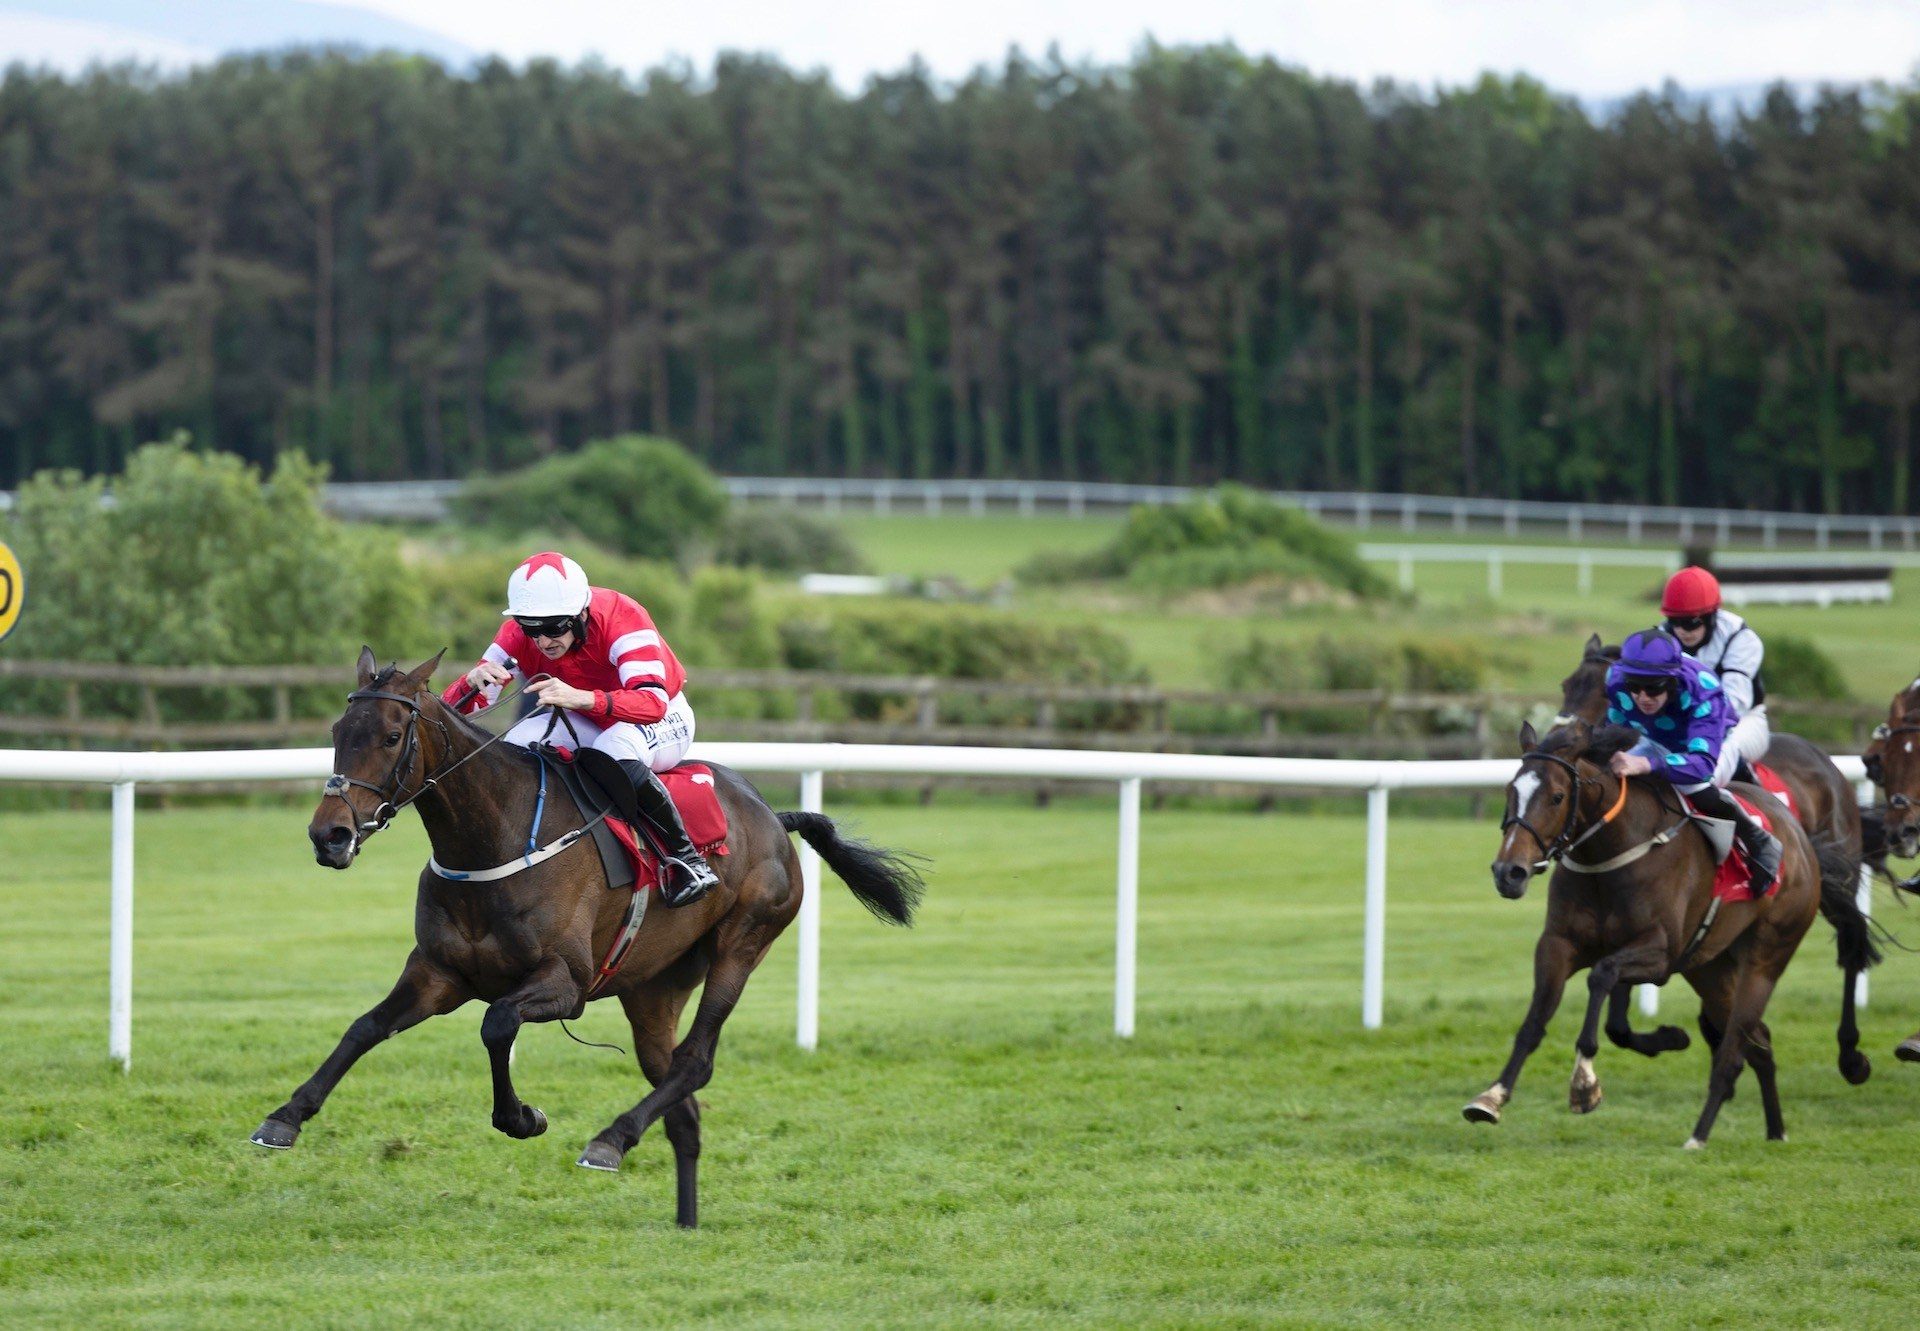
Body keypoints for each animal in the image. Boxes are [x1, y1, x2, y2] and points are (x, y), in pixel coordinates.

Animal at [251, 649, 925, 1229]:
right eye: (339, 730)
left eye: (391, 737)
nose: (329, 836)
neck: (493, 836)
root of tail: (774, 817)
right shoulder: (437, 973)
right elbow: (364, 1027)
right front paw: (284, 1118)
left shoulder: (564, 984)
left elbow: (496, 1023)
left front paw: (523, 1117)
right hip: (653, 989)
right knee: (680, 1099)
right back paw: (684, 1220)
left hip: (743, 944)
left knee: (696, 1062)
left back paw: (610, 1140)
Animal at [1466, 722, 1858, 1144]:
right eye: (1511, 791)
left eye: (1557, 797)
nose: (1509, 872)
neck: (1611, 853)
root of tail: (1801, 840)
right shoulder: (1558, 945)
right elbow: (1536, 1021)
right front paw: (1492, 1096)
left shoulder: (1660, 956)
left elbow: (1601, 975)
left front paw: (1585, 1082)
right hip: (1710, 969)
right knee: (1761, 1043)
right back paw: (1775, 1132)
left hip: (1767, 956)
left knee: (1734, 1048)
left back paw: (1699, 1136)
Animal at [1559, 629, 1873, 1083]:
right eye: (1567, 686)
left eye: (1600, 692)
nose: (1562, 743)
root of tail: (1828, 764)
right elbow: (1620, 1012)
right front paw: (1666, 1037)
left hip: (1834, 880)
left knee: (1851, 944)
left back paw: (1851, 1055)